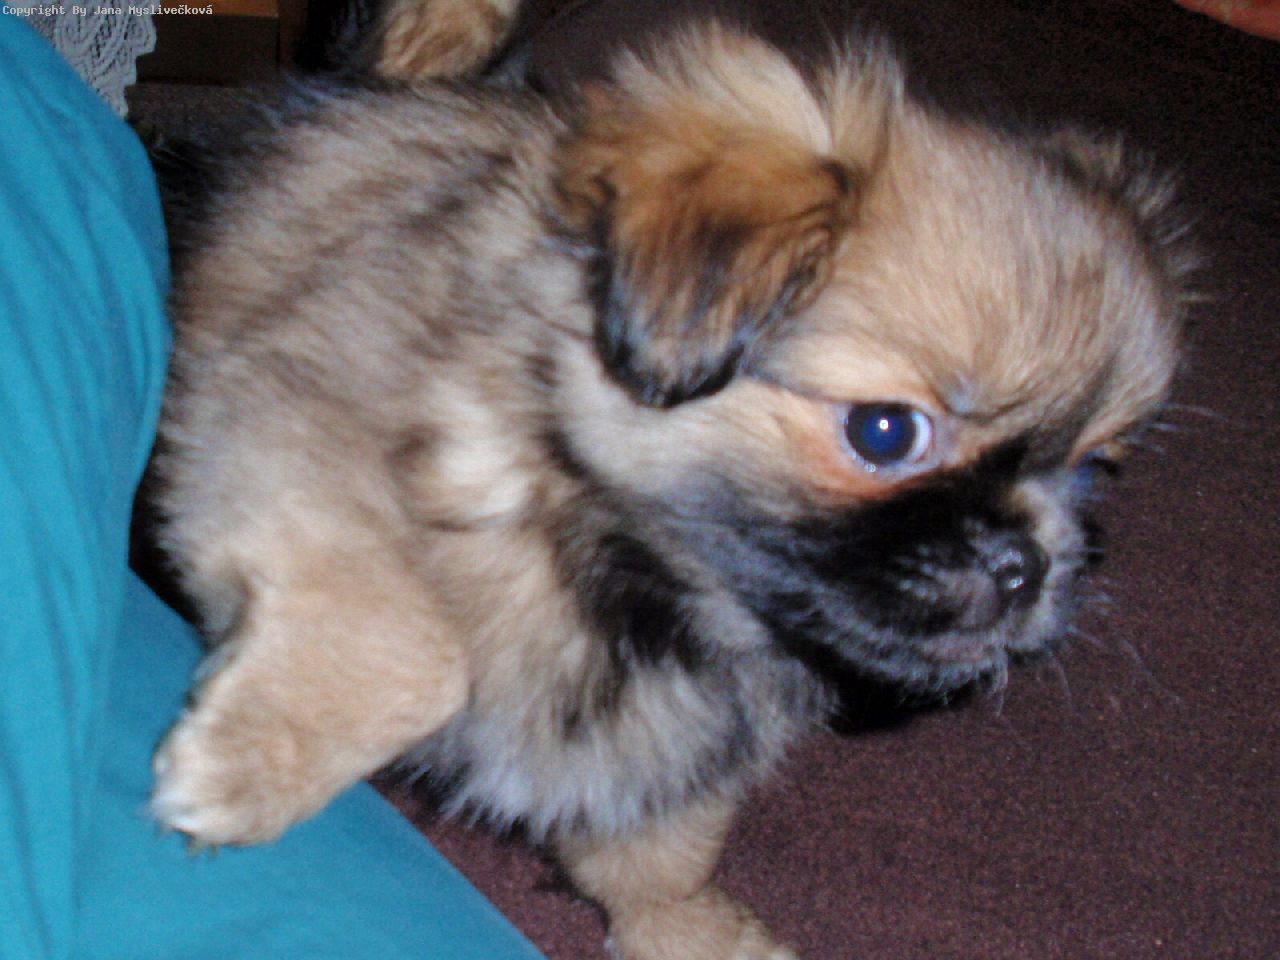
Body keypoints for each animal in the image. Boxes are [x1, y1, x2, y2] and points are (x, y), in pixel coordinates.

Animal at [148, 4, 1191, 958]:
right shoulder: (290, 429)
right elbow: (415, 646)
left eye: (1094, 466)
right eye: (886, 431)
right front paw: (254, 764)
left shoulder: (674, 737)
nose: (1026, 564)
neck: (636, 572)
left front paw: (692, 932)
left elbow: (661, 851)